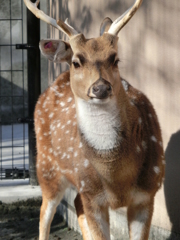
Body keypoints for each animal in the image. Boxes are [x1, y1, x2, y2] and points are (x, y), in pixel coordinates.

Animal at [24, 0, 165, 239]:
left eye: (115, 59)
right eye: (76, 61)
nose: (100, 88)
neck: (116, 176)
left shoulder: (148, 193)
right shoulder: (91, 193)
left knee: (76, 204)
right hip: (46, 167)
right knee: (45, 214)